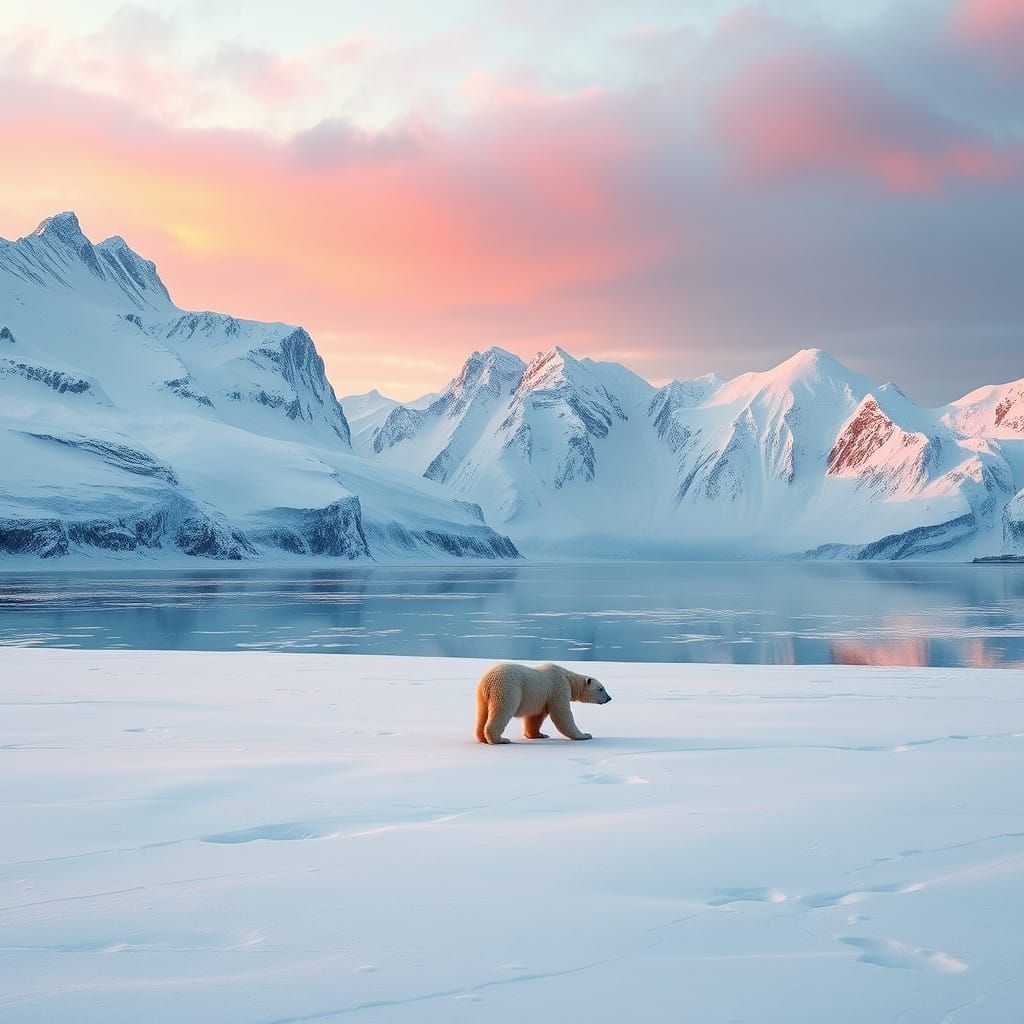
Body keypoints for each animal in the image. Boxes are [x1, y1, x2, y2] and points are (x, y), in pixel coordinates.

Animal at [475, 662, 612, 744]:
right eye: (601, 688)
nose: (609, 698)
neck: (568, 678)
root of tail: (487, 681)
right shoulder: (558, 688)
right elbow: (562, 714)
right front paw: (585, 735)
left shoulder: (541, 699)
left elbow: (535, 717)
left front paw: (541, 735)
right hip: (507, 689)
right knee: (502, 711)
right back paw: (501, 739)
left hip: (481, 696)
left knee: (482, 714)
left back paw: (482, 738)